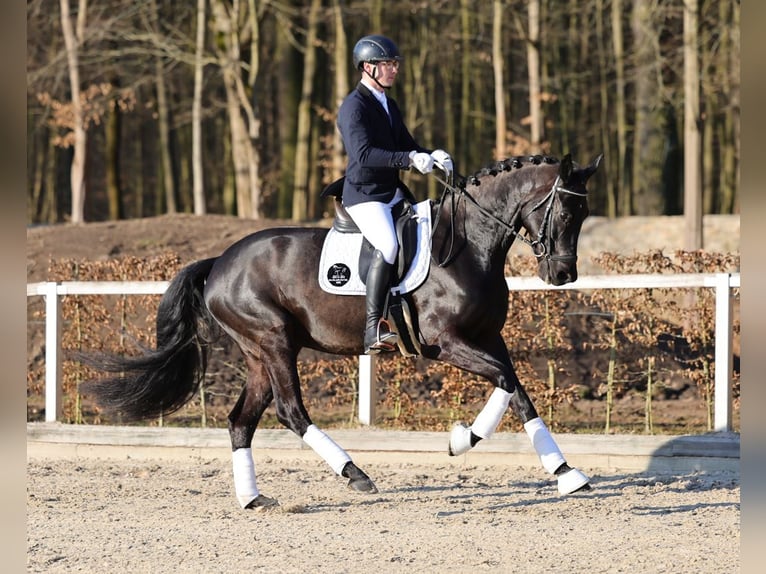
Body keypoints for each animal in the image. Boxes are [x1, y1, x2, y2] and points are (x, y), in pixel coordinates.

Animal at [81, 152, 603, 509]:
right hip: (275, 342)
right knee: (291, 411)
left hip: (258, 353)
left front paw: (564, 472)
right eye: (565, 213)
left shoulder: (489, 338)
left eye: (583, 216)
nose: (563, 275)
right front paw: (463, 439)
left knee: (240, 421)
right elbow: (505, 381)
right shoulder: (446, 344)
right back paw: (355, 474)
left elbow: (517, 389)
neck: (467, 245)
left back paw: (253, 499)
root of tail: (220, 262)